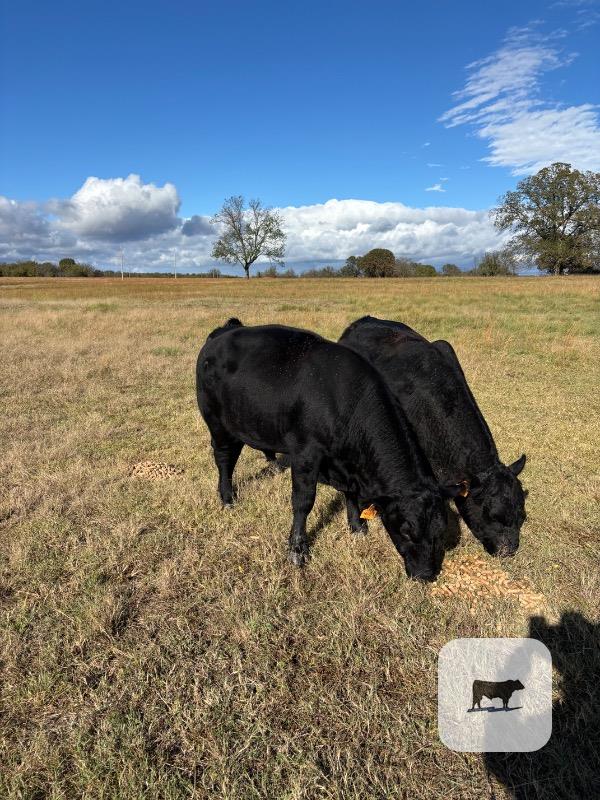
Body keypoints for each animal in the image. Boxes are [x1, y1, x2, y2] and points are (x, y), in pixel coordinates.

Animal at [196, 319, 465, 580]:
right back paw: (227, 498)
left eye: (441, 532)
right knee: (224, 458)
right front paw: (298, 550)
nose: (426, 575)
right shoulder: (305, 453)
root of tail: (225, 330)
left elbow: (351, 493)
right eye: (406, 530)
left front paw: (357, 526)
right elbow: (303, 501)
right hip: (217, 423)